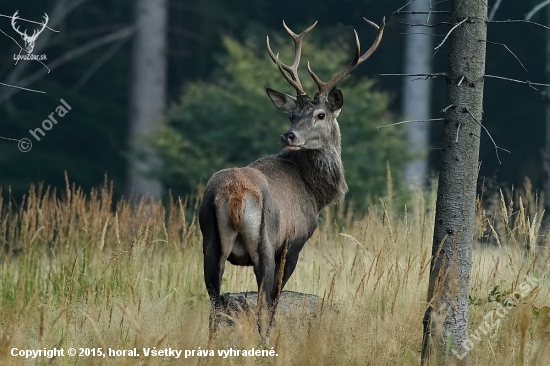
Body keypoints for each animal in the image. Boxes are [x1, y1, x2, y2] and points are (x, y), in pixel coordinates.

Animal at [201, 17, 386, 338]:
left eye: (320, 114)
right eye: (292, 115)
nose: (288, 135)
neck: (315, 193)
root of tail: (234, 194)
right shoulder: (295, 242)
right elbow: (275, 300)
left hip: (208, 241)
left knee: (214, 302)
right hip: (264, 241)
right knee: (264, 302)